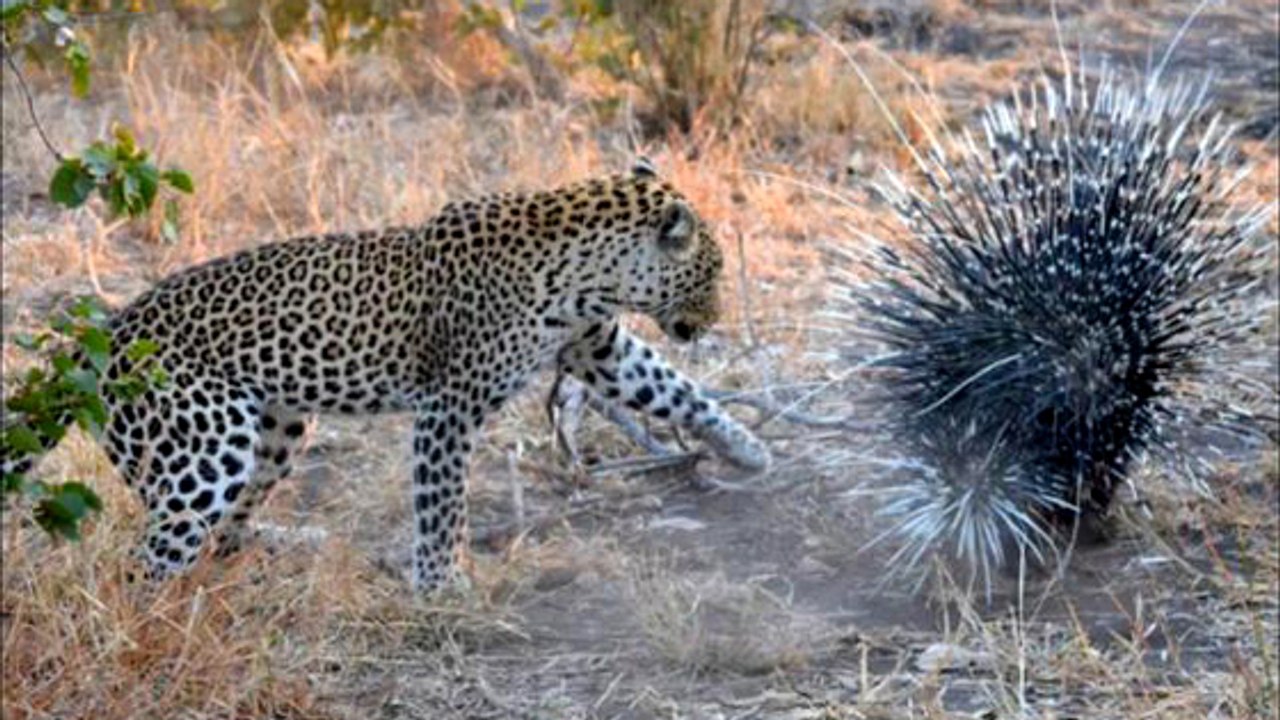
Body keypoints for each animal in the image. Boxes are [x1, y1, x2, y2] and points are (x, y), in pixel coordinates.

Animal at [2, 161, 770, 592]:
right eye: (711, 271)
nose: (714, 317)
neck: (588, 272)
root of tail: (102, 336)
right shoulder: (449, 408)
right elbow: (442, 504)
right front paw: (442, 584)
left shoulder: (599, 349)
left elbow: (674, 388)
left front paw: (748, 448)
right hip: (206, 449)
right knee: (146, 559)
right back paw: (150, 623)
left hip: (279, 427)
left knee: (225, 533)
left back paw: (290, 545)